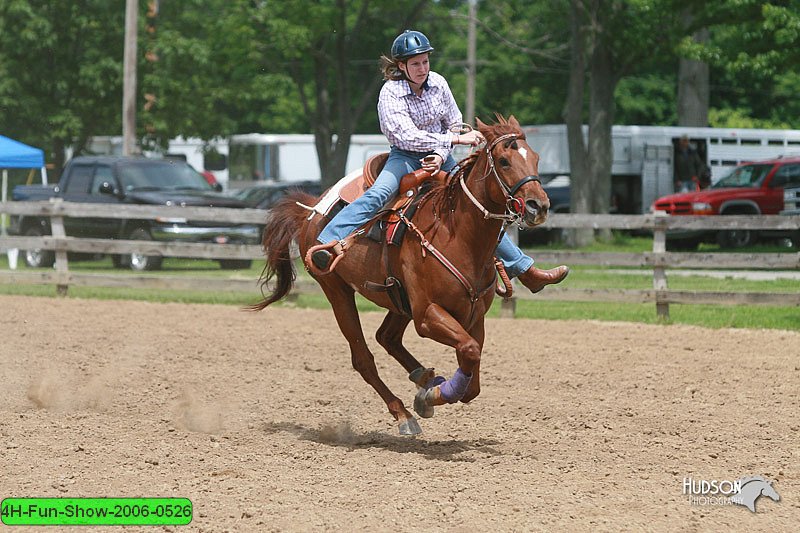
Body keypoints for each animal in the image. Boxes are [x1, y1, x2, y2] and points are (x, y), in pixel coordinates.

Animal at [252, 115, 552, 432]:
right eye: (504, 161)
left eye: (535, 158)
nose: (539, 206)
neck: (455, 234)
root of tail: (311, 211)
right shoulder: (427, 315)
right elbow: (469, 352)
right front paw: (429, 397)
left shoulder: (474, 317)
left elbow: (472, 376)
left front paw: (431, 391)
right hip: (338, 291)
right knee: (363, 358)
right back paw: (404, 414)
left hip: (399, 300)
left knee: (387, 337)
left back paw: (424, 377)